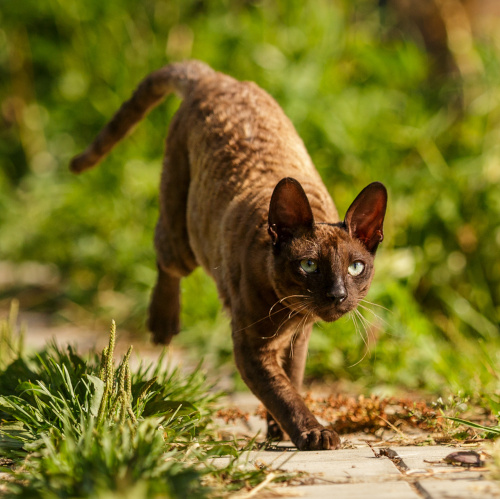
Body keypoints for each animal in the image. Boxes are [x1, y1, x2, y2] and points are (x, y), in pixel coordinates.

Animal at [69, 60, 386, 452]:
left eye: (356, 267)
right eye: (309, 265)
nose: (338, 295)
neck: (292, 315)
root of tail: (215, 77)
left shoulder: (298, 340)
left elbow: (292, 382)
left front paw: (279, 430)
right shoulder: (251, 347)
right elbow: (281, 392)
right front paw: (312, 433)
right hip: (183, 237)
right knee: (165, 258)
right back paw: (163, 325)